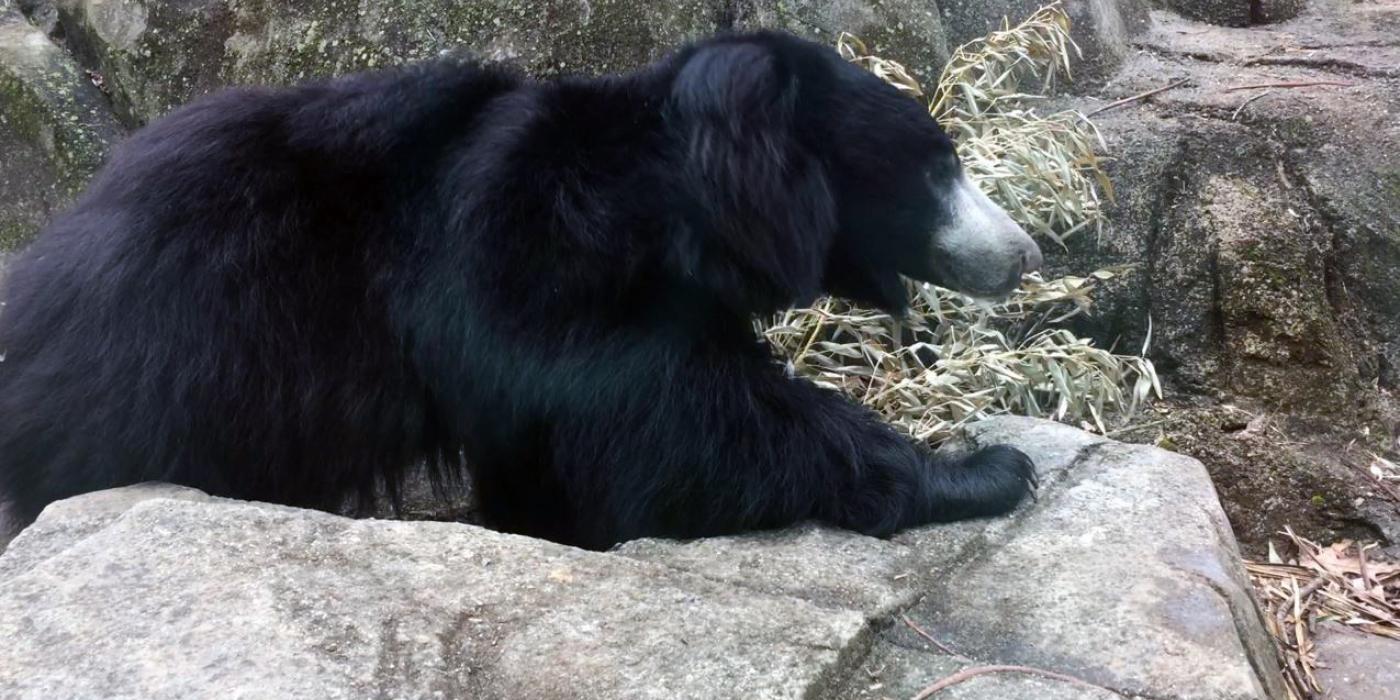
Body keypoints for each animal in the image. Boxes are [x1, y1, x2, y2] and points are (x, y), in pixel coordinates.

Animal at [0, 31, 1041, 546]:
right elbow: (683, 428)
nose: (1027, 252)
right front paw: (986, 467)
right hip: (189, 361)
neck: (672, 208)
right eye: (940, 165)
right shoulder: (532, 274)